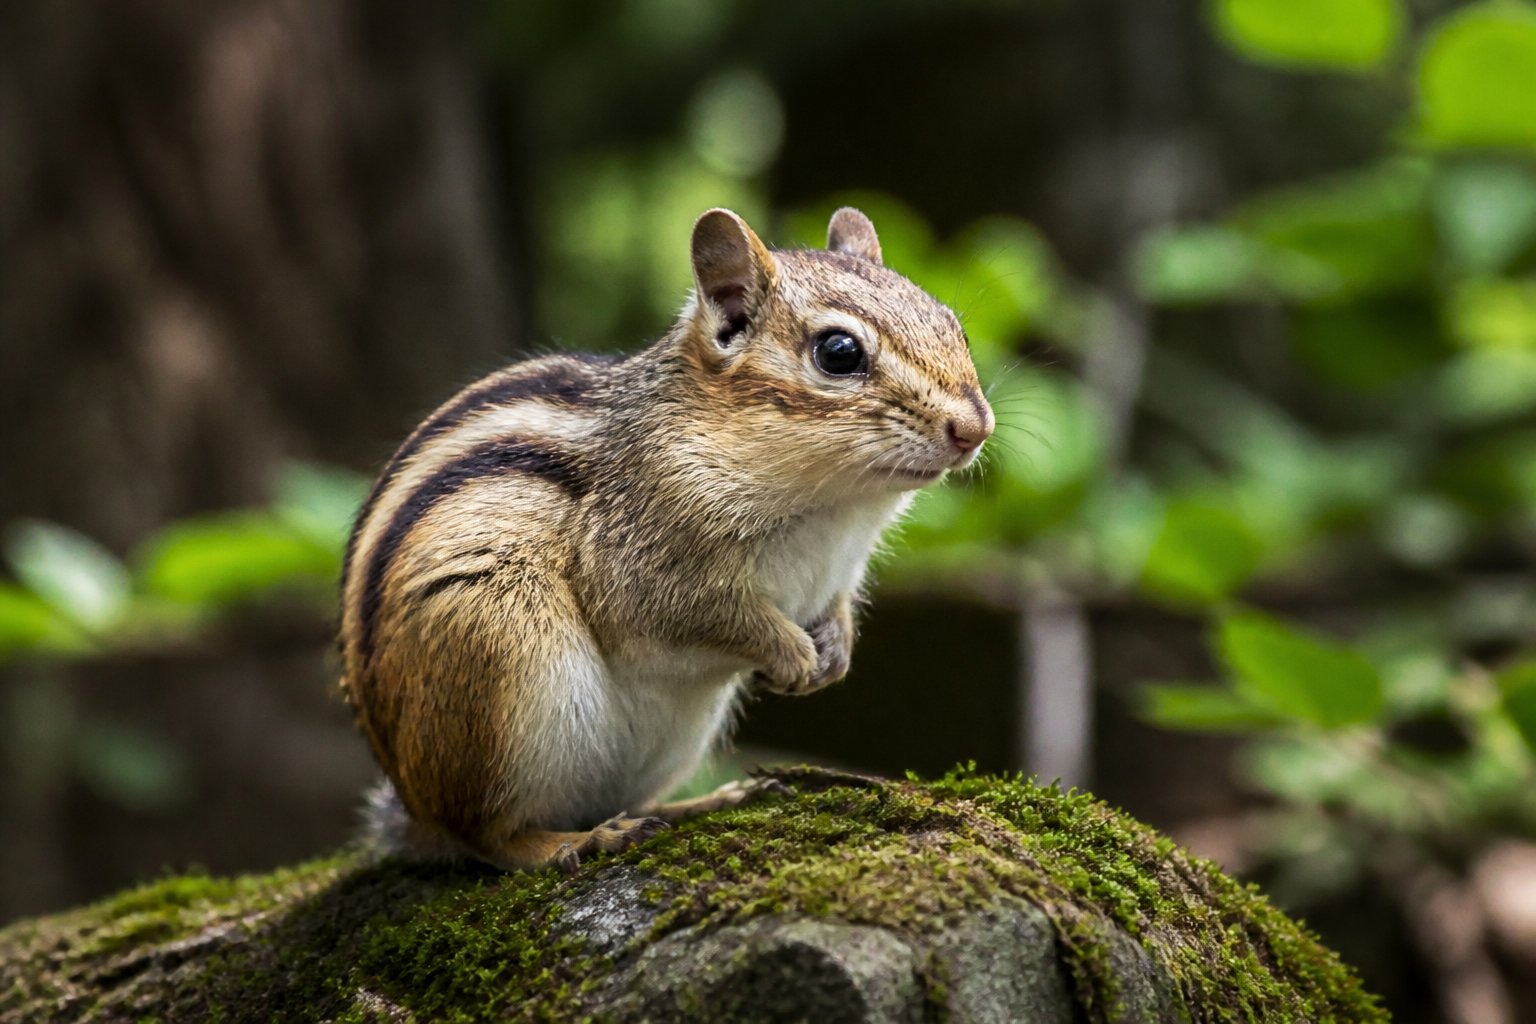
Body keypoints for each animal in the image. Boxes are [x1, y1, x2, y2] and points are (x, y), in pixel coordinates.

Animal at [338, 206, 994, 873]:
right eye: (838, 353)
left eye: (954, 328)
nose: (975, 428)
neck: (836, 507)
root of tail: (415, 810)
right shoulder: (643, 564)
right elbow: (712, 617)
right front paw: (793, 655)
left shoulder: (841, 571)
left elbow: (834, 608)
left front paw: (834, 654)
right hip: (496, 652)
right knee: (487, 835)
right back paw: (577, 841)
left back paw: (700, 803)